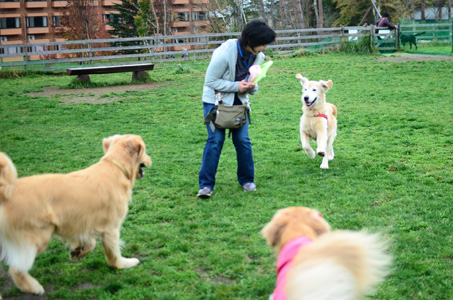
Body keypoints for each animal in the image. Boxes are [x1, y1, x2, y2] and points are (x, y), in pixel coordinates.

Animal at [0, 135, 152, 294]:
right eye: (145, 150)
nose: (151, 159)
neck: (115, 167)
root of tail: (6, 192)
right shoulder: (111, 228)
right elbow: (114, 253)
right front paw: (124, 264)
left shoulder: (81, 223)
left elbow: (90, 243)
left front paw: (79, 251)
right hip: (39, 237)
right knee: (16, 268)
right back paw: (34, 287)